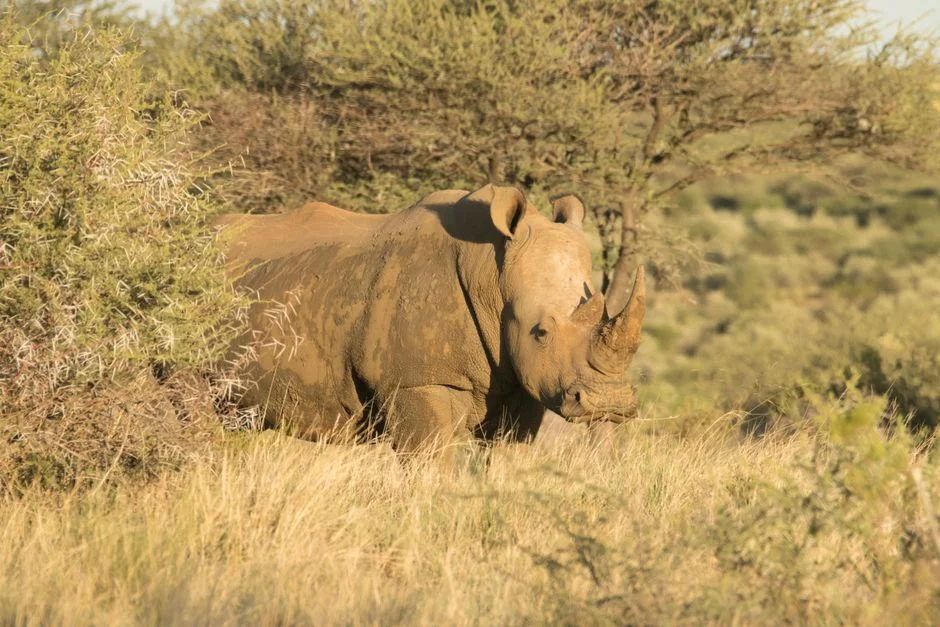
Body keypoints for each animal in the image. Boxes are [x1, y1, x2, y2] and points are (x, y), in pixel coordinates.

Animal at [217, 184, 645, 458]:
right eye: (540, 332)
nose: (608, 403)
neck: (492, 274)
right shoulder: (418, 381)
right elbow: (433, 460)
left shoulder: (525, 382)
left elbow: (508, 458)